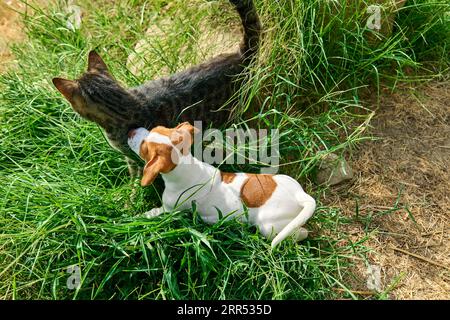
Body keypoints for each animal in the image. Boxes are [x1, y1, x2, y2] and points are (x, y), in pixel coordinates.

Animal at [126, 122, 316, 248]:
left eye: (144, 148)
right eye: (154, 128)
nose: (130, 131)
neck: (186, 165)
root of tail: (300, 195)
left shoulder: (168, 210)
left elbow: (148, 214)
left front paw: (129, 220)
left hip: (269, 227)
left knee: (301, 233)